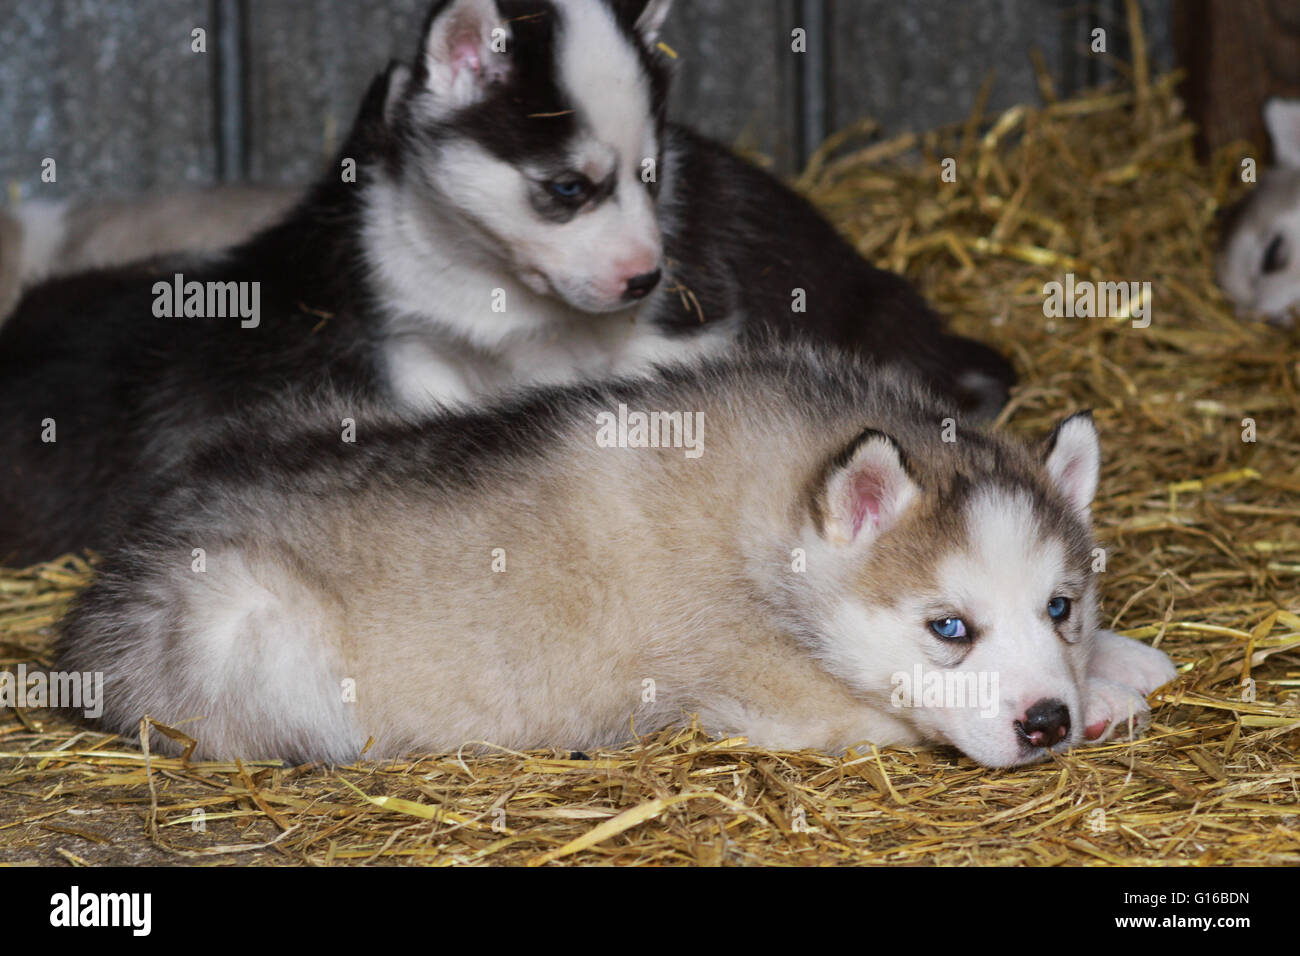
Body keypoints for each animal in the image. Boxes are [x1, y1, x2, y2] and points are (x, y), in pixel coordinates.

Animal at [58, 348, 1180, 764]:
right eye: (949, 627)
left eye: (1061, 608)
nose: (1046, 720)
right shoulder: (757, 693)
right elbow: (889, 711)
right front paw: (1109, 699)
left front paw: (1121, 661)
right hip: (251, 622)